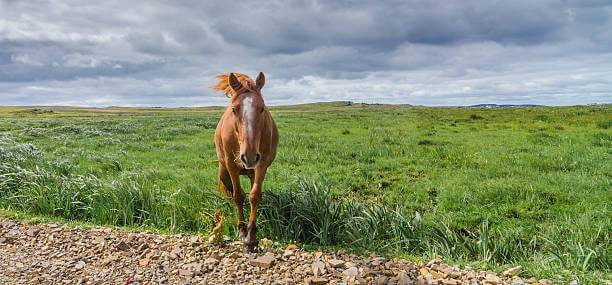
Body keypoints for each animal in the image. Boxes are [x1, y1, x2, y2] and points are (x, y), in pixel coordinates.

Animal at [210, 71, 278, 251]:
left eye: (262, 108)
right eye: (234, 109)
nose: (249, 156)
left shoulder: (261, 164)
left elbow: (254, 196)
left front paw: (251, 238)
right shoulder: (231, 166)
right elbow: (238, 196)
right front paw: (241, 230)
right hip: (225, 173)